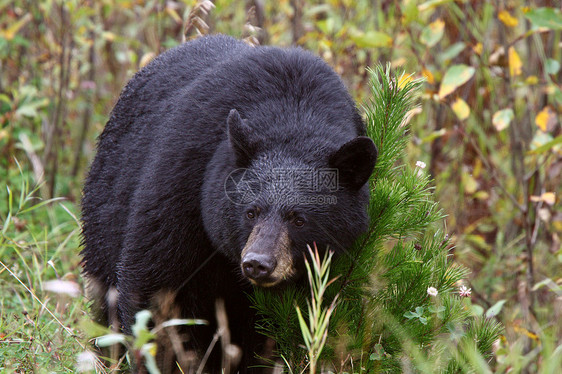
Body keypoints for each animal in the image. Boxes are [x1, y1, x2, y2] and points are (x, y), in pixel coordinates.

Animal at [80, 34, 376, 372]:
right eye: (251, 212)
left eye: (299, 219)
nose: (258, 263)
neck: (295, 117)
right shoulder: (184, 181)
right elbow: (156, 287)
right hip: (106, 208)